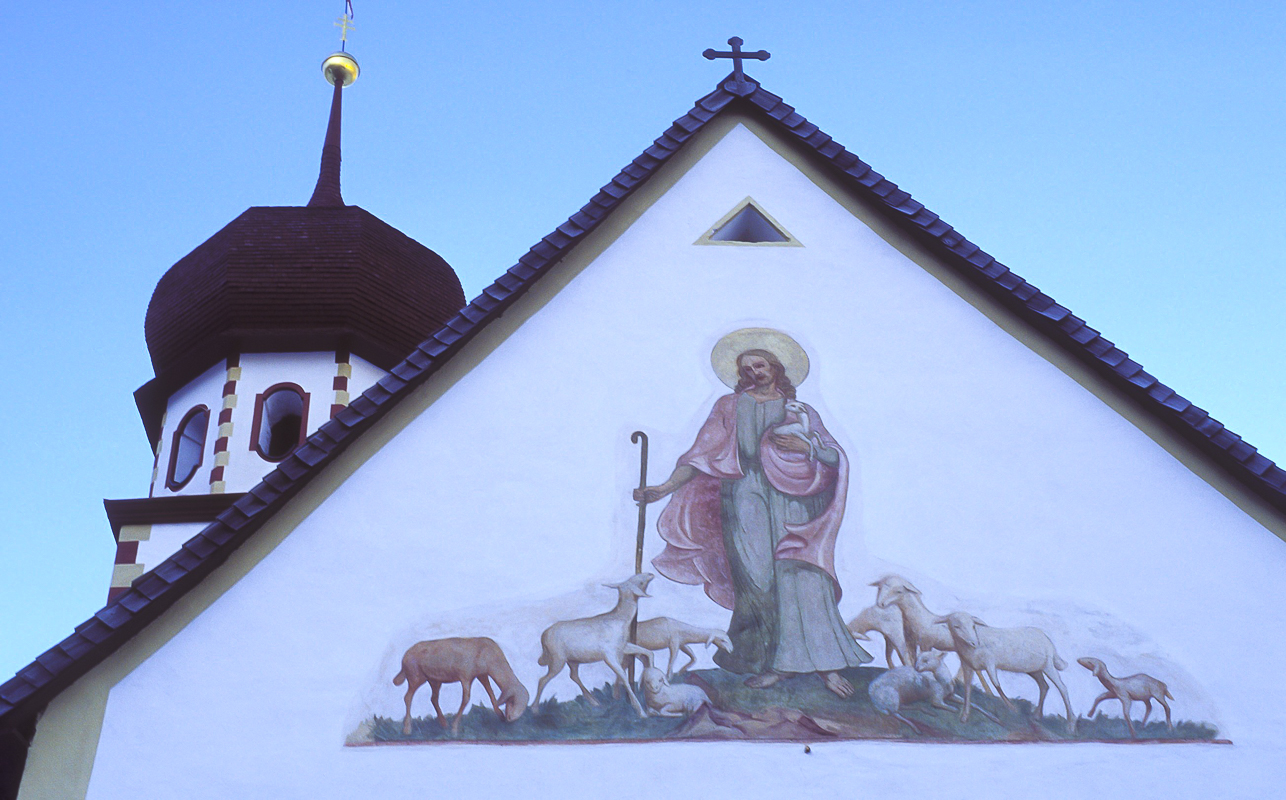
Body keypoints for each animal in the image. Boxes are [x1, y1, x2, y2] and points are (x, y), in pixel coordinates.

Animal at [393, 637, 529, 735]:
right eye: (513, 701)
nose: (510, 719)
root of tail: (404, 658)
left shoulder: (482, 675)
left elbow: (491, 694)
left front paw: (500, 715)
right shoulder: (466, 676)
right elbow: (466, 699)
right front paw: (454, 729)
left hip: (434, 680)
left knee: (433, 699)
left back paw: (443, 723)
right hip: (415, 677)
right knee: (408, 697)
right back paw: (407, 729)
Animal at [532, 573, 654, 718]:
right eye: (640, 582)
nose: (651, 574)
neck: (621, 620)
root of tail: (543, 636)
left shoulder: (623, 647)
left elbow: (648, 652)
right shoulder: (609, 655)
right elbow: (624, 678)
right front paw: (641, 712)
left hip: (572, 660)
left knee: (573, 675)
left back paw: (594, 701)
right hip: (557, 659)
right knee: (542, 680)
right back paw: (535, 709)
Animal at [937, 612, 1075, 732]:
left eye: (973, 626)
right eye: (956, 626)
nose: (974, 643)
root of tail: (1047, 639)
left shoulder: (990, 663)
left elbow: (996, 685)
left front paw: (1012, 707)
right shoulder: (967, 666)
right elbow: (967, 688)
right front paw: (965, 716)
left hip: (1048, 666)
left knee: (1062, 687)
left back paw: (1070, 724)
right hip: (1034, 669)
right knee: (1044, 686)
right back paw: (1036, 715)